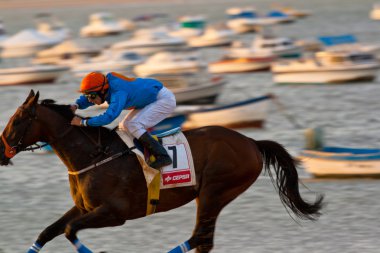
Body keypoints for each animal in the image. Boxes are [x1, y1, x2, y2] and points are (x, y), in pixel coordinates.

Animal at [0, 90, 324, 252]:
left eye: (18, 120)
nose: (2, 150)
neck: (93, 155)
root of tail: (251, 142)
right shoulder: (84, 207)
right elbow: (48, 232)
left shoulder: (114, 213)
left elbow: (69, 231)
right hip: (211, 195)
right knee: (203, 241)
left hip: (215, 191)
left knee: (199, 237)